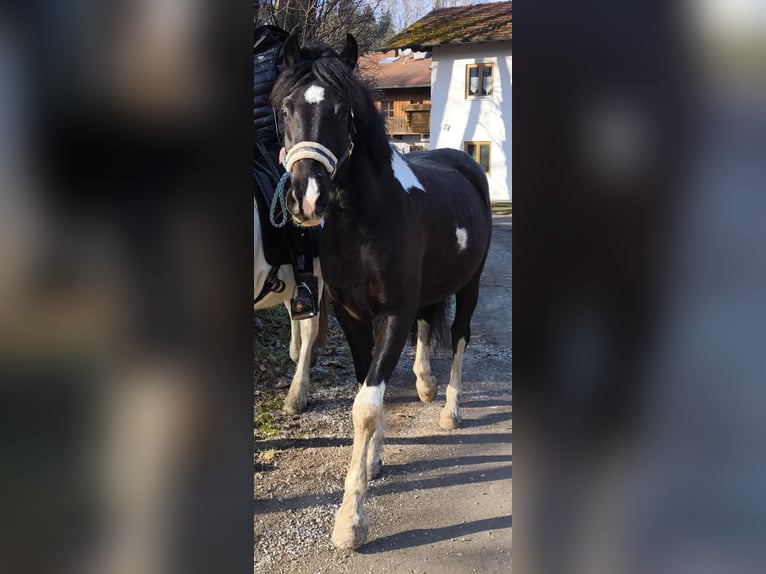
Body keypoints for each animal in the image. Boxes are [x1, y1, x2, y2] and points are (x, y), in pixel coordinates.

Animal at [271, 34, 493, 550]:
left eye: (341, 110)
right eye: (284, 108)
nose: (305, 198)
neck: (363, 221)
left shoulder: (393, 313)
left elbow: (367, 406)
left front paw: (350, 520)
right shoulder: (352, 316)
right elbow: (366, 389)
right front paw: (372, 460)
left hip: (469, 286)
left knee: (459, 336)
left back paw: (449, 410)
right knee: (430, 326)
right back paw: (426, 384)